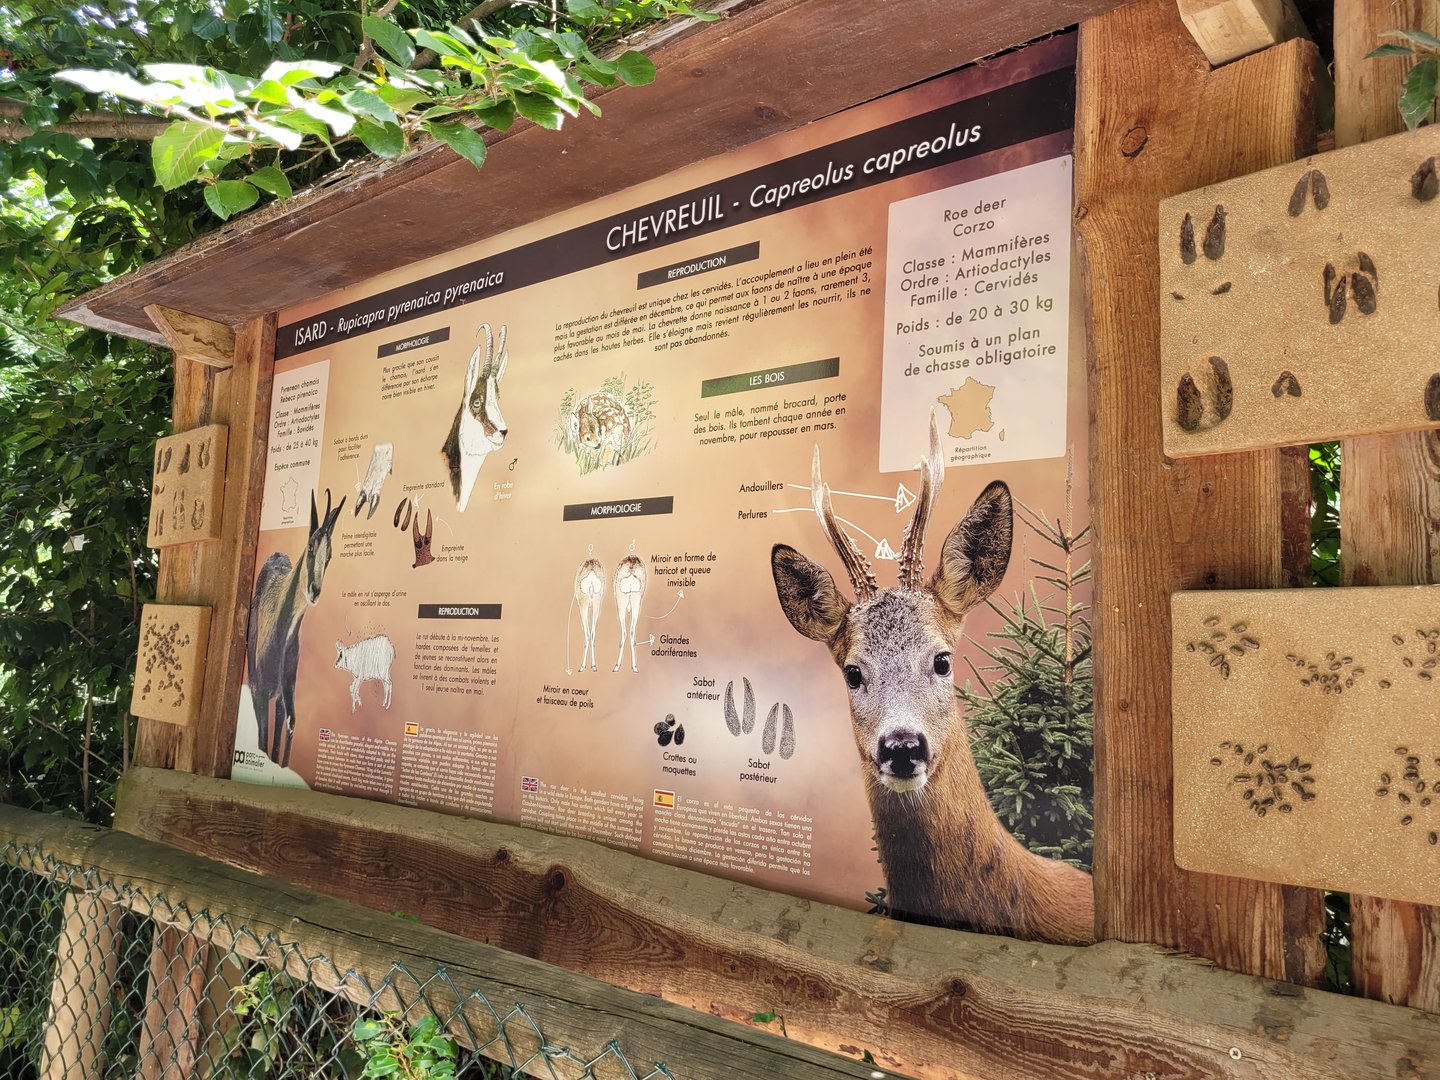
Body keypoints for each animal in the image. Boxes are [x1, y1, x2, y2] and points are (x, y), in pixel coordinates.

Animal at [248, 487, 346, 768]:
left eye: (330, 554)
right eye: (311, 546)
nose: (314, 591)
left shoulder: (283, 699)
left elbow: (279, 748)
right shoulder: (260, 693)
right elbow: (263, 745)